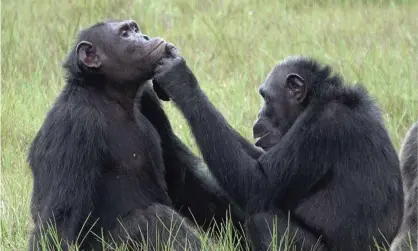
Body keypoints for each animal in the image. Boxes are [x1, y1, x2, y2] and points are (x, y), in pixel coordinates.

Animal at [27, 19, 242, 251]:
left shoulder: (149, 99)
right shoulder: (75, 124)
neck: (110, 95)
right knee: (156, 218)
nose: (144, 37)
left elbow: (182, 175)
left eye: (135, 29)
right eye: (125, 34)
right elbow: (60, 218)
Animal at [152, 46, 404, 249]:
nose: (258, 115)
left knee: (262, 220)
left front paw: (180, 79)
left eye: (266, 98)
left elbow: (258, 183)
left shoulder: (322, 128)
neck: (315, 100)